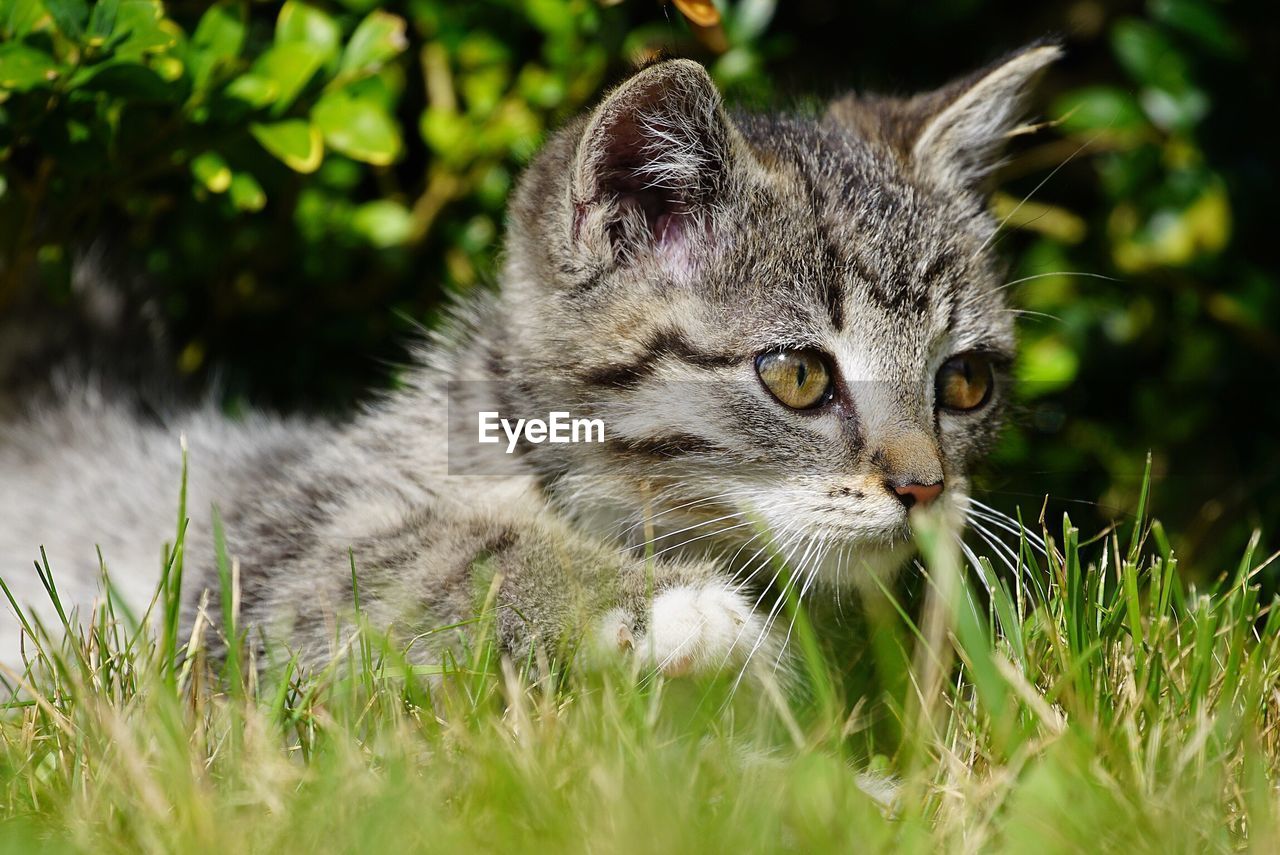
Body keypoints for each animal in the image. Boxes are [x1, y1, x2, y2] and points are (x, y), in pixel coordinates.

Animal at [0, 45, 1059, 675]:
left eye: (966, 381)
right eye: (797, 375)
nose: (924, 486)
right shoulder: (270, 556)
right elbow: (441, 558)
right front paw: (676, 607)